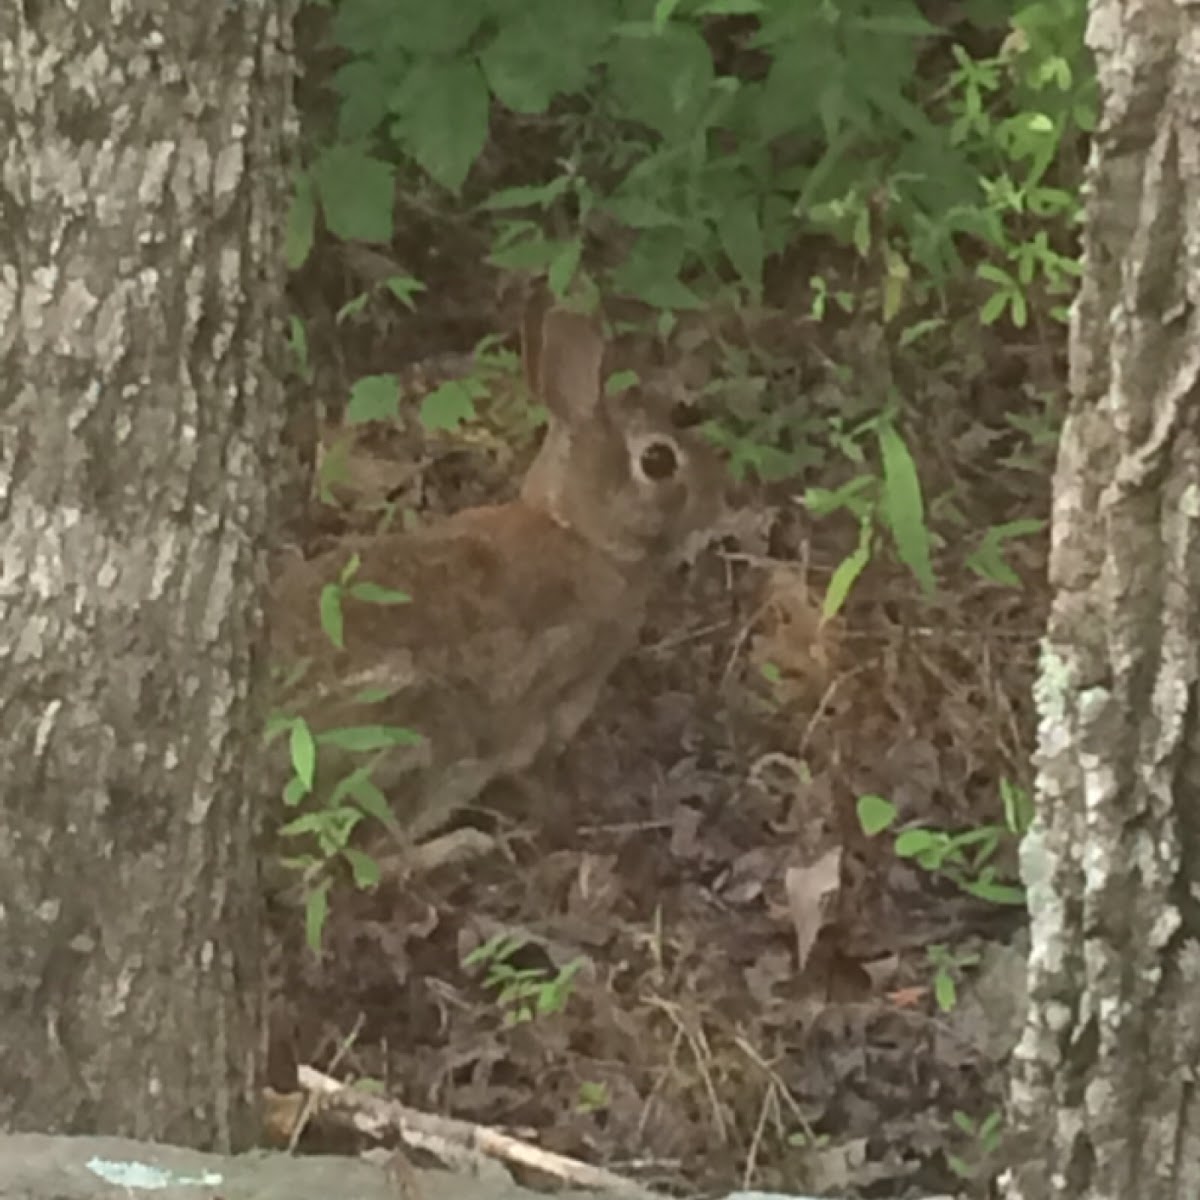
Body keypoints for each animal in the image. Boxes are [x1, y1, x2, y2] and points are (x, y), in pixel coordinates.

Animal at [267, 300, 724, 854]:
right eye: (658, 459)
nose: (720, 493)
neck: (579, 534)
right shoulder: (552, 689)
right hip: (417, 742)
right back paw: (463, 844)